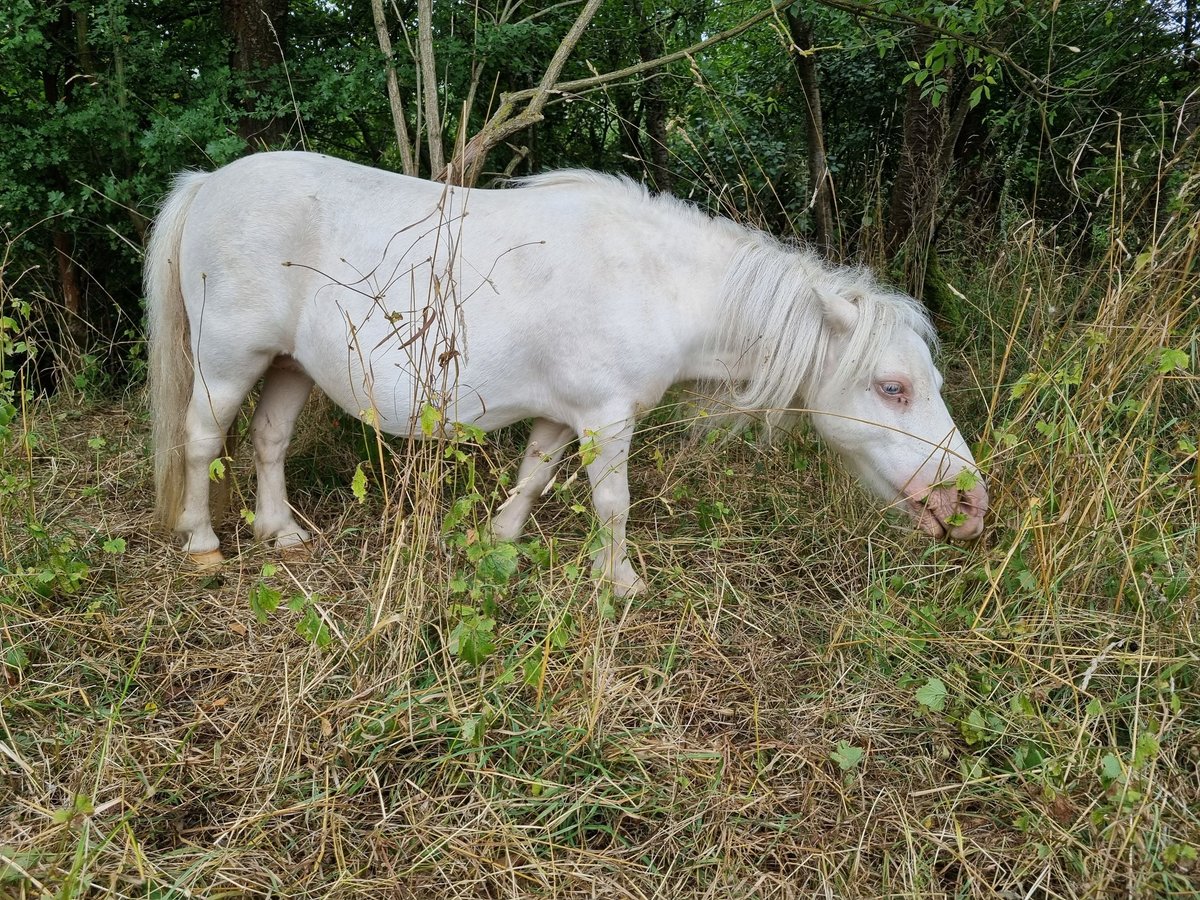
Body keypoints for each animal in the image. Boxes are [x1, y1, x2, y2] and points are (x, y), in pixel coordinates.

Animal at [146, 151, 989, 595]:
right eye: (892, 388)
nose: (970, 503)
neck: (656, 281)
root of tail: (210, 182)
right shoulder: (606, 418)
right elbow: (613, 504)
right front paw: (623, 583)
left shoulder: (560, 415)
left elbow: (531, 477)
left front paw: (498, 543)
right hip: (228, 364)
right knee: (200, 440)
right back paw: (202, 543)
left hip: (289, 366)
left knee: (269, 442)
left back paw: (283, 533)